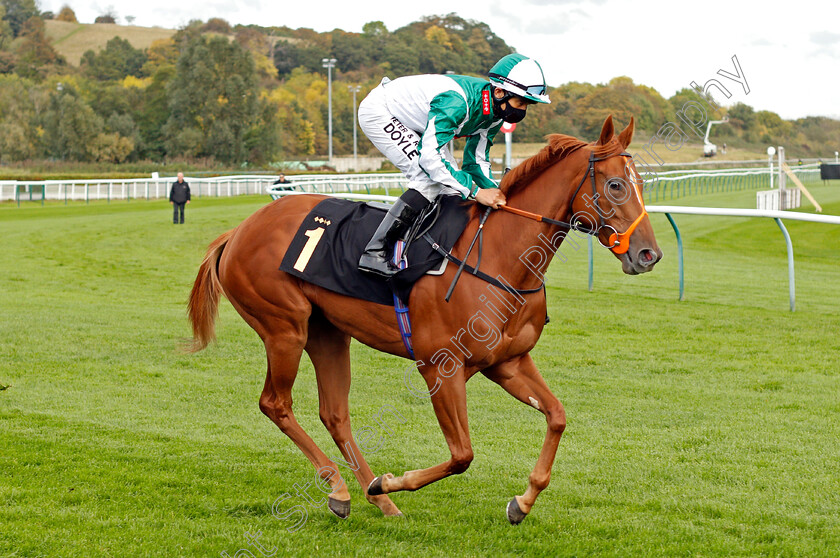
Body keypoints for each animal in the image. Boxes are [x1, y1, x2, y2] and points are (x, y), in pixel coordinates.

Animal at [187, 116, 660, 528]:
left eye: (642, 183)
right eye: (616, 184)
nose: (648, 255)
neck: (501, 258)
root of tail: (237, 231)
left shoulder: (508, 362)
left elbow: (558, 416)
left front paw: (522, 502)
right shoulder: (440, 367)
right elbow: (462, 454)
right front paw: (391, 481)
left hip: (328, 333)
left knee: (335, 414)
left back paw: (376, 501)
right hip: (284, 328)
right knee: (276, 404)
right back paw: (342, 488)